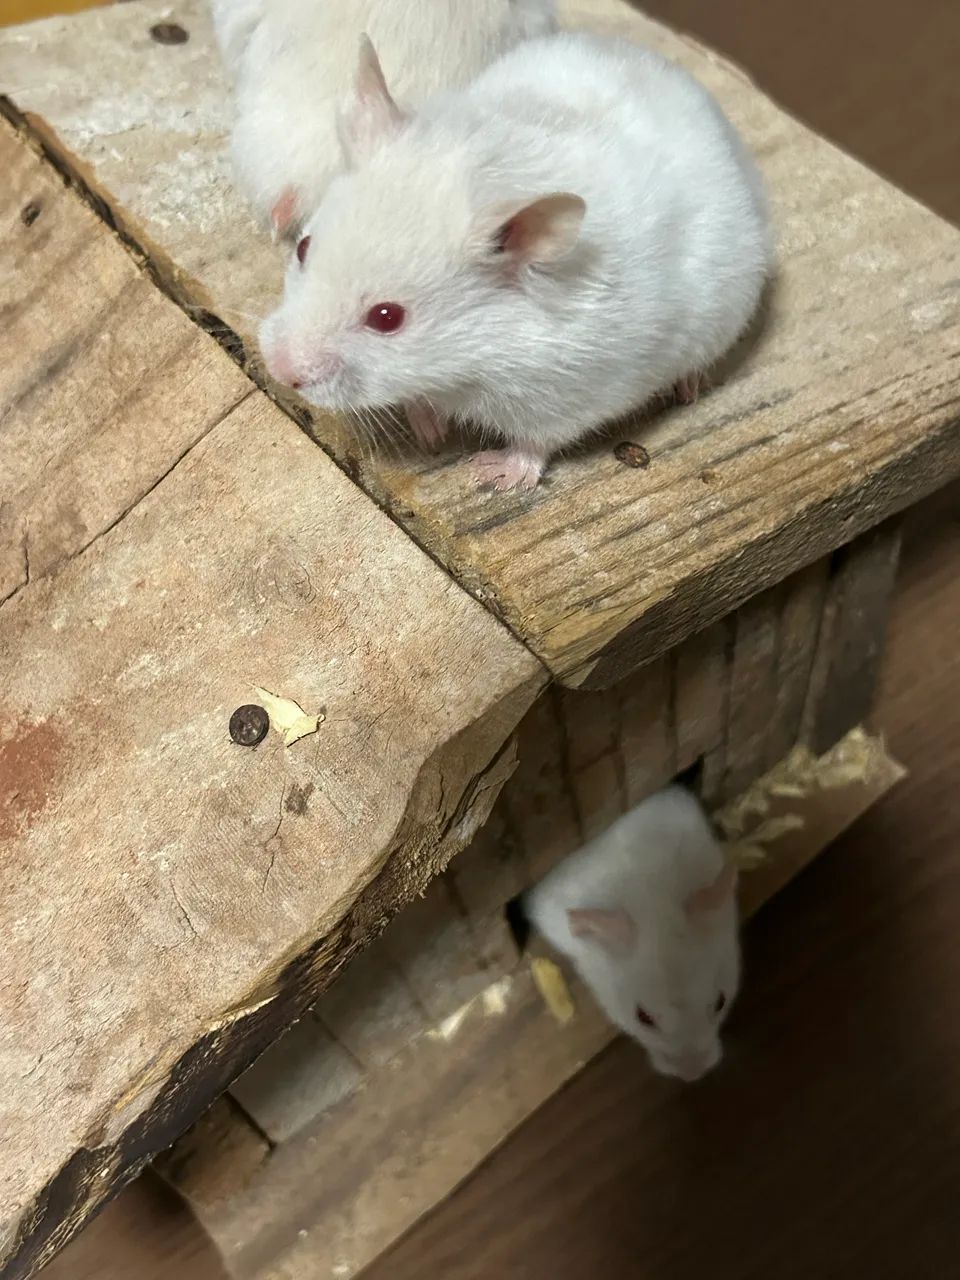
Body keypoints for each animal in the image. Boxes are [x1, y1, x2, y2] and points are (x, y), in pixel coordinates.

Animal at [259, 31, 771, 490]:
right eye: (303, 249)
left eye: (387, 317)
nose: (279, 370)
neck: (472, 362)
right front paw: (431, 431)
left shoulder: (567, 398)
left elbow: (535, 444)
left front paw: (490, 474)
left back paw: (686, 389)